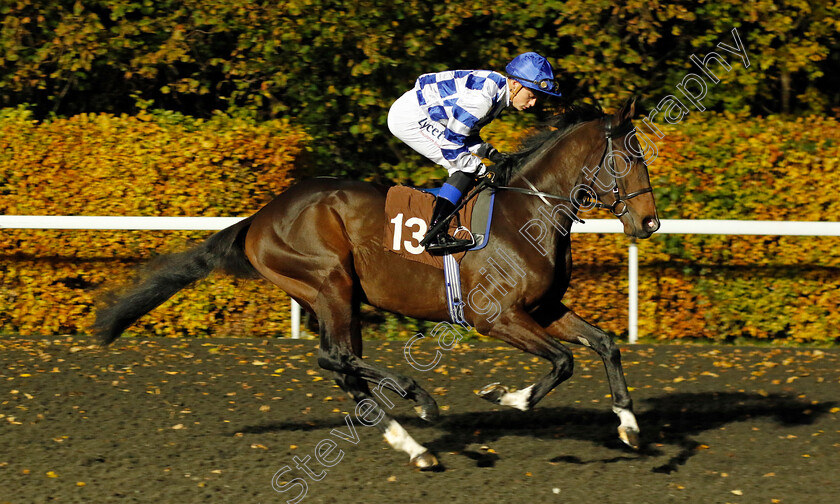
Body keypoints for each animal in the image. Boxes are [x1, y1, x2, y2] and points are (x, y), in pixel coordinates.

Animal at [92, 97, 656, 468]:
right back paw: (419, 397)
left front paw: (630, 427)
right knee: (334, 358)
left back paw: (415, 447)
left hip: (332, 294)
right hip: (330, 279)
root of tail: (258, 218)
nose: (648, 222)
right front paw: (505, 396)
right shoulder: (495, 317)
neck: (528, 212)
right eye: (628, 158)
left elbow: (604, 344)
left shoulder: (542, 310)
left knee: (342, 367)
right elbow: (562, 362)